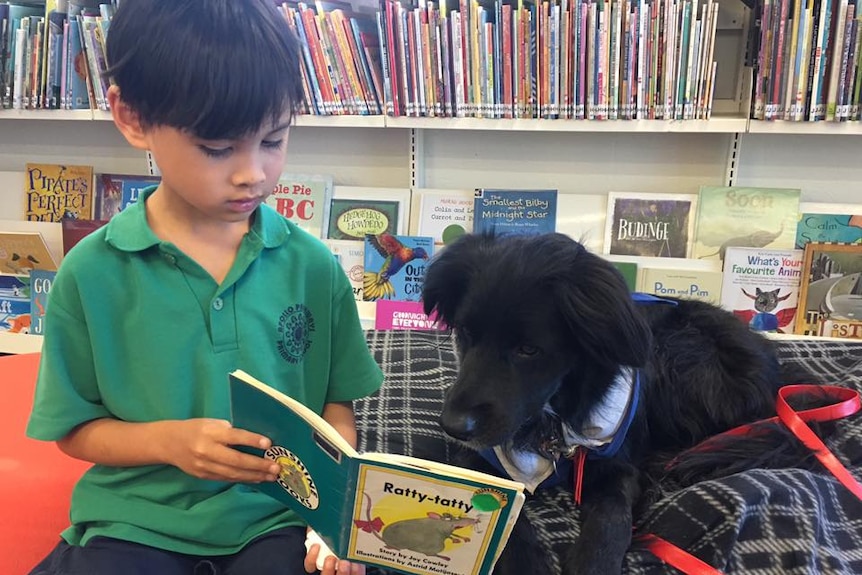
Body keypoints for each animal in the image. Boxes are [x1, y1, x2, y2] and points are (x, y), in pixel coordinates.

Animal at [422, 233, 820, 575]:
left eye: (529, 349)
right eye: (466, 332)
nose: (453, 426)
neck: (553, 421)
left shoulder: (618, 464)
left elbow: (612, 517)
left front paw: (593, 564)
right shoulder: (476, 460)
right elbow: (509, 520)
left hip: (678, 351)